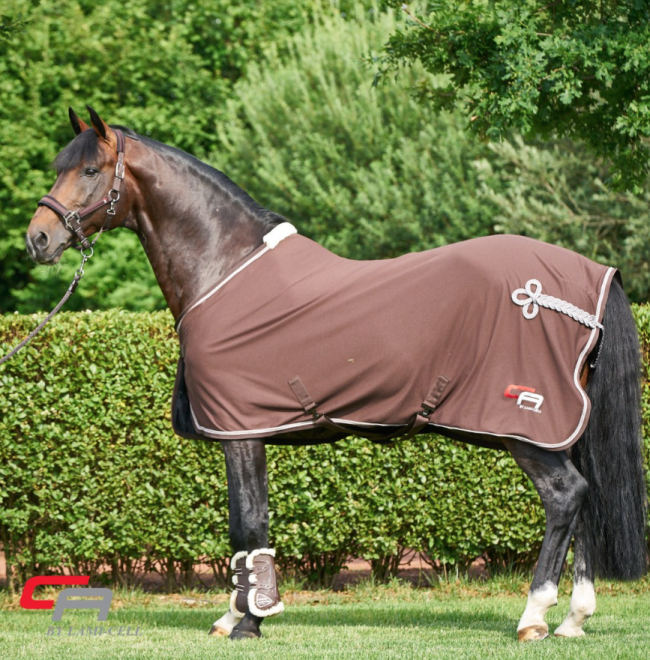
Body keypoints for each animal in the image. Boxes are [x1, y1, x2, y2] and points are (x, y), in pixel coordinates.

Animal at [25, 107, 647, 642]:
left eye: (89, 170)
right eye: (57, 167)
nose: (38, 239)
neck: (224, 268)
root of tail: (591, 276)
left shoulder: (241, 431)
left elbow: (247, 522)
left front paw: (250, 622)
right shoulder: (248, 432)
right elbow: (245, 526)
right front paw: (233, 617)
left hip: (528, 429)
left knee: (566, 496)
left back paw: (534, 616)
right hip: (567, 427)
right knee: (588, 502)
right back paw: (573, 619)